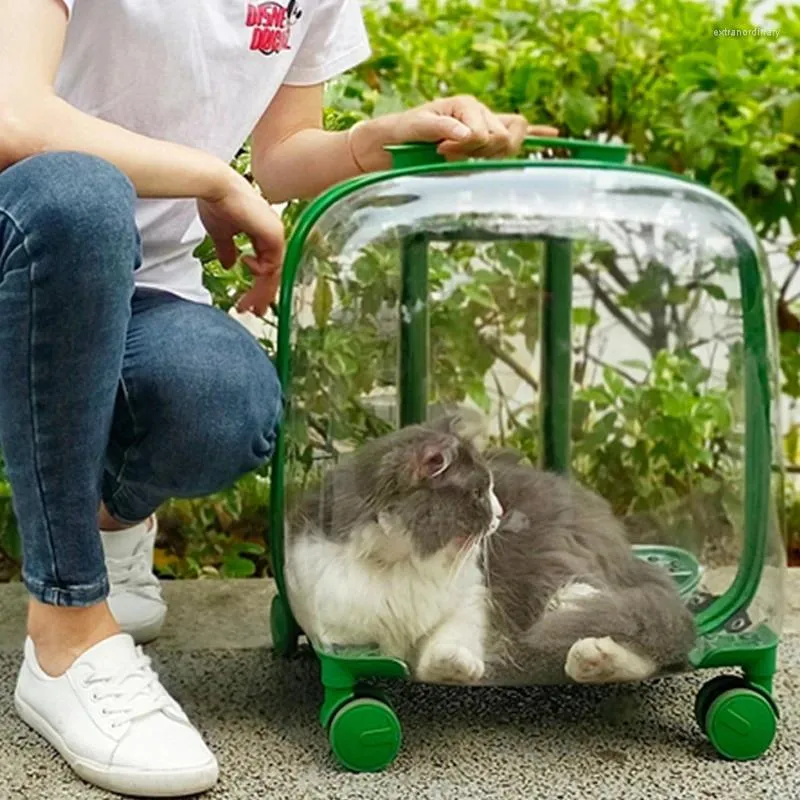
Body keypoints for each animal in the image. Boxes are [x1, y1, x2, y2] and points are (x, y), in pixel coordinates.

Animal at [284, 416, 696, 684]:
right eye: (480, 493)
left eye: (492, 487)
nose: (500, 512)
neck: (402, 562)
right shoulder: (343, 635)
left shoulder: (471, 597)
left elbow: (448, 639)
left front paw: (454, 666)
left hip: (557, 584)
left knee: (656, 644)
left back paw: (592, 659)